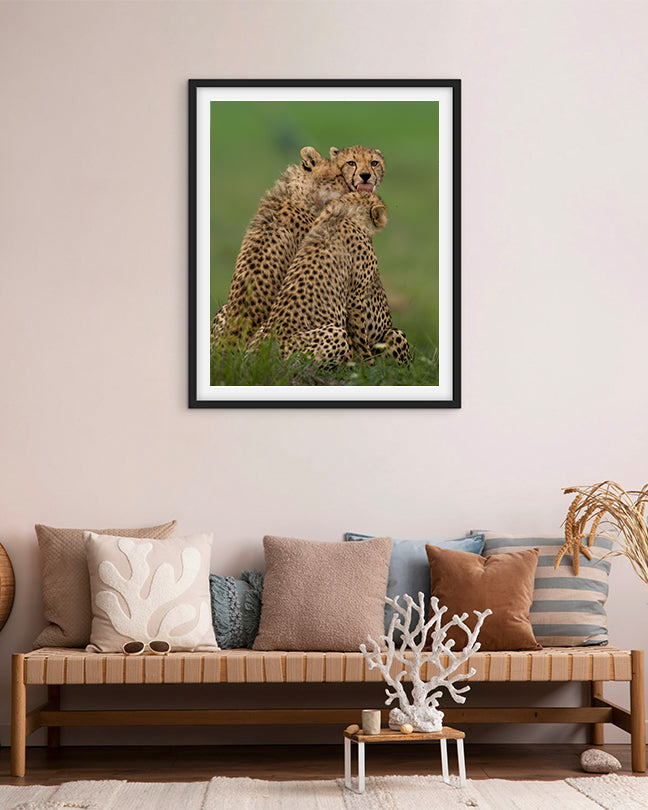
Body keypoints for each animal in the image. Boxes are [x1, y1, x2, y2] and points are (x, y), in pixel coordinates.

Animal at [249, 191, 411, 366]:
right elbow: (361, 339)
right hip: (338, 333)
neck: (345, 212)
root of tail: (261, 354)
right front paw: (368, 365)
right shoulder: (355, 299)